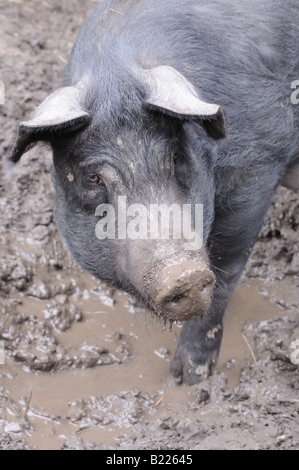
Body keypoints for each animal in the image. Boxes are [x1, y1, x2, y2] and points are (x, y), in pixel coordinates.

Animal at [9, 0, 299, 384]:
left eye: (174, 157)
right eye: (94, 179)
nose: (184, 273)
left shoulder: (259, 165)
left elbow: (226, 269)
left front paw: (188, 380)